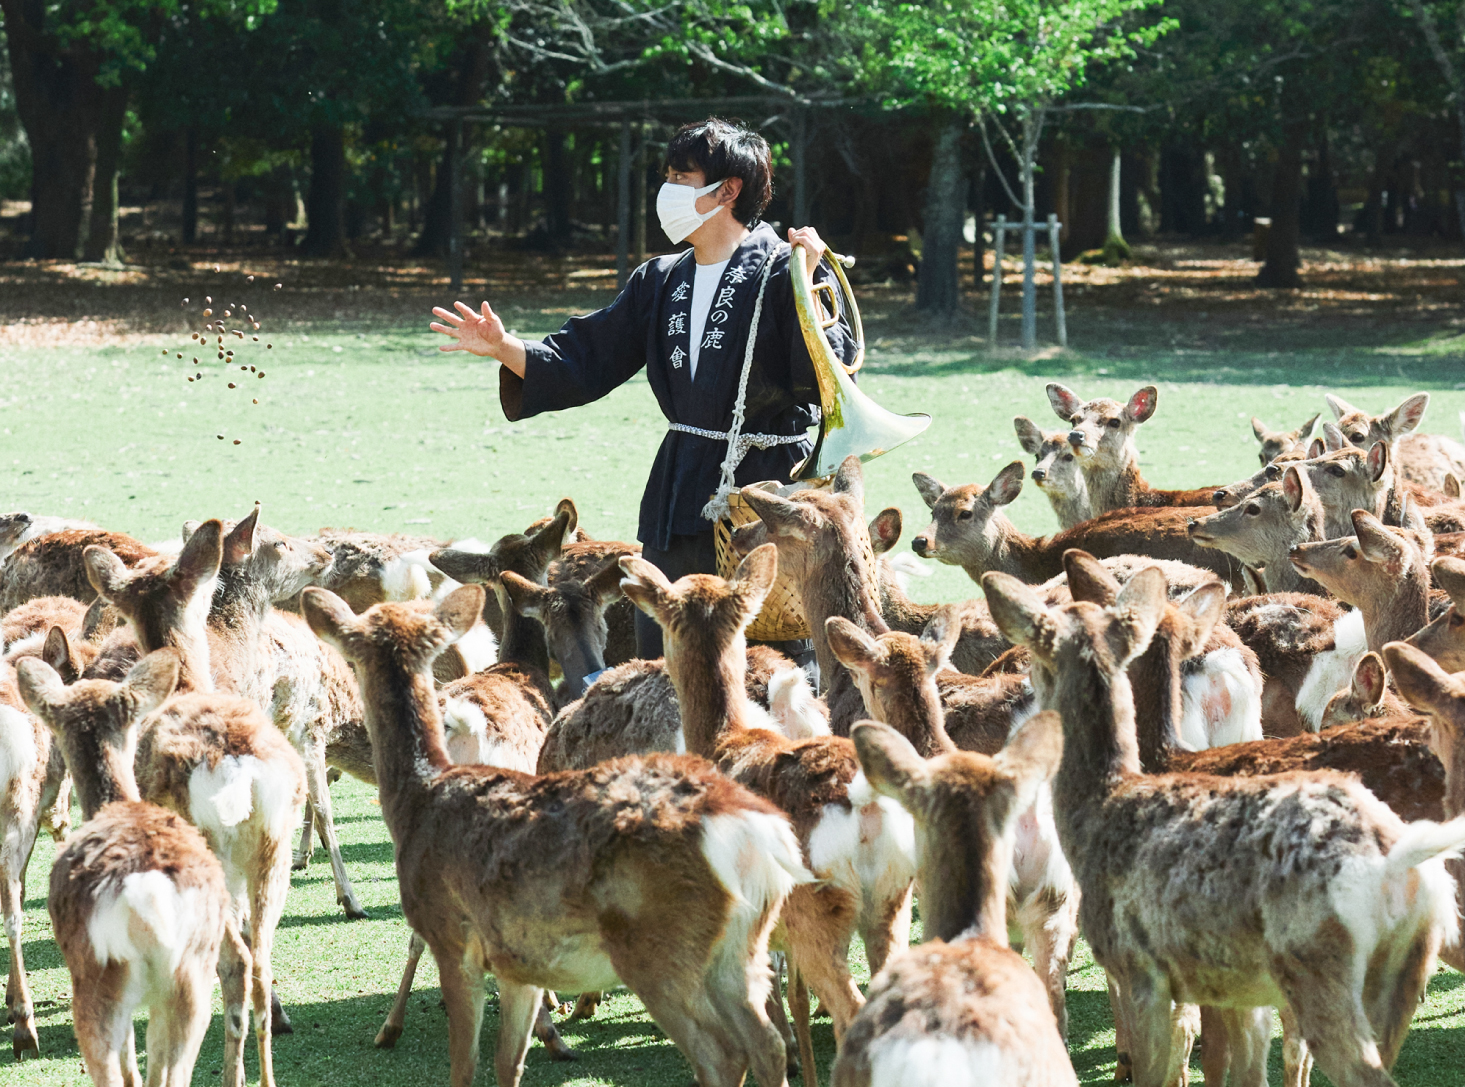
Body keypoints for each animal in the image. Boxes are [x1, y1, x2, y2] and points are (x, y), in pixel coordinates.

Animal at [83, 521, 307, 1075]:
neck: (187, 680)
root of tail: (239, 772)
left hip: (207, 857)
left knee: (235, 959)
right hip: (274, 850)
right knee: (260, 956)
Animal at [303, 582, 809, 1087]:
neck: (420, 794)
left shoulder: (453, 938)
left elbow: (465, 1063)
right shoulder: (513, 961)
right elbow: (509, 1062)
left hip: (664, 955)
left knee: (724, 1052)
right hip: (739, 949)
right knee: (766, 1040)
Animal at [620, 545, 918, 1084]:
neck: (724, 739)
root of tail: (862, 801)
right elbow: (792, 1003)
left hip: (813, 911)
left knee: (850, 1011)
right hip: (893, 900)